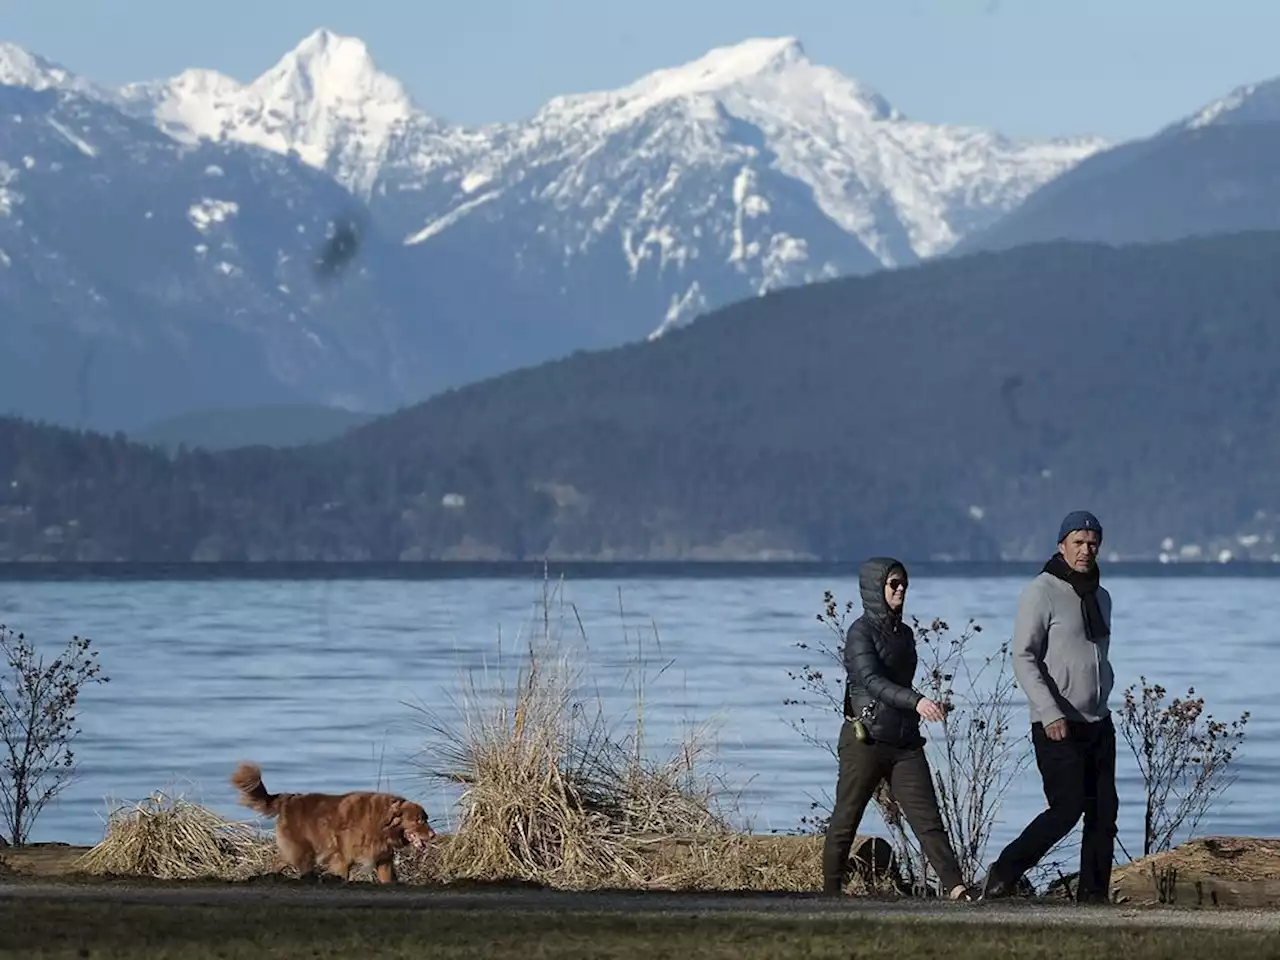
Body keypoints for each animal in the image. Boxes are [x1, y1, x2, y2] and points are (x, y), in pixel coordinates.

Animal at [227, 757, 432, 885]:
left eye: (425, 819)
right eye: (418, 820)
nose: (433, 835)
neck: (381, 824)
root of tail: (289, 798)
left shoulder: (383, 861)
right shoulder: (341, 860)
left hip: (295, 850)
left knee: (279, 861)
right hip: (303, 851)